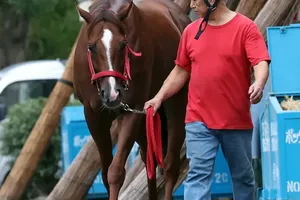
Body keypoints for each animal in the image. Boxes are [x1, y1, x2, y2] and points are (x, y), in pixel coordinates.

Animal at [73, 0, 190, 199]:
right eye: (91, 47)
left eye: (123, 45)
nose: (112, 93)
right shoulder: (94, 116)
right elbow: (105, 174)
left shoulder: (134, 109)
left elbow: (115, 172)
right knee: (149, 158)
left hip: (175, 101)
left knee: (170, 165)